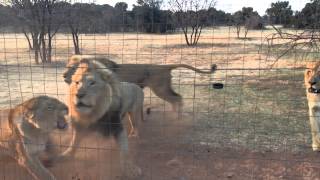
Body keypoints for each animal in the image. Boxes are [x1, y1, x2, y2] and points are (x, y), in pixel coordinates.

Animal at [62, 54, 218, 111]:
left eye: (73, 68)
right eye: (67, 67)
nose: (63, 76)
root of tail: (165, 66)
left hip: (160, 89)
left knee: (177, 99)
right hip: (164, 88)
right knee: (178, 98)